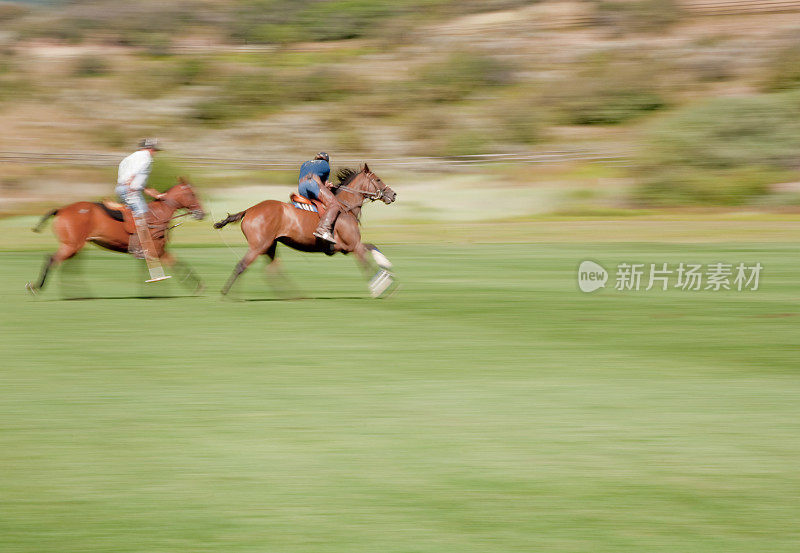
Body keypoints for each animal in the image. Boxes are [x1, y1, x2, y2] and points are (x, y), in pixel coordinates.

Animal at [28, 180, 206, 294]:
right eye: (192, 194)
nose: (202, 214)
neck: (159, 215)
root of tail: (61, 210)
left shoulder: (157, 251)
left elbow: (176, 264)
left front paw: (197, 285)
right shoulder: (155, 250)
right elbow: (174, 265)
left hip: (74, 246)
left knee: (66, 266)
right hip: (72, 245)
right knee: (53, 259)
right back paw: (36, 287)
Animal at [214, 162, 398, 296]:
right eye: (378, 179)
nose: (393, 194)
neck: (346, 207)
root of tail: (249, 210)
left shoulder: (350, 246)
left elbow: (373, 247)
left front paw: (387, 265)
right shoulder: (354, 246)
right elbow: (367, 265)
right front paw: (380, 287)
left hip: (270, 245)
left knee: (272, 270)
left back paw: (293, 294)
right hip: (259, 245)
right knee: (242, 265)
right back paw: (231, 294)